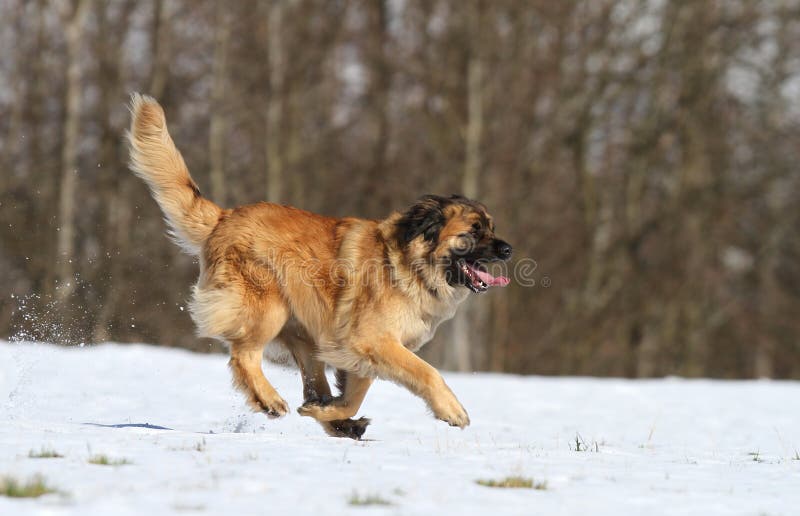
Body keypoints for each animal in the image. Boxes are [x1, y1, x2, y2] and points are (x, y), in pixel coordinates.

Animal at [125, 93, 512, 440]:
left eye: (492, 227)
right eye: (473, 232)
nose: (508, 249)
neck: (408, 264)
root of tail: (226, 216)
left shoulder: (358, 351)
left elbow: (353, 396)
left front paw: (329, 412)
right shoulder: (373, 340)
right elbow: (426, 372)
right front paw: (453, 410)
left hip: (305, 335)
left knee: (311, 383)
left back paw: (337, 421)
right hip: (268, 308)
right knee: (243, 356)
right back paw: (270, 400)